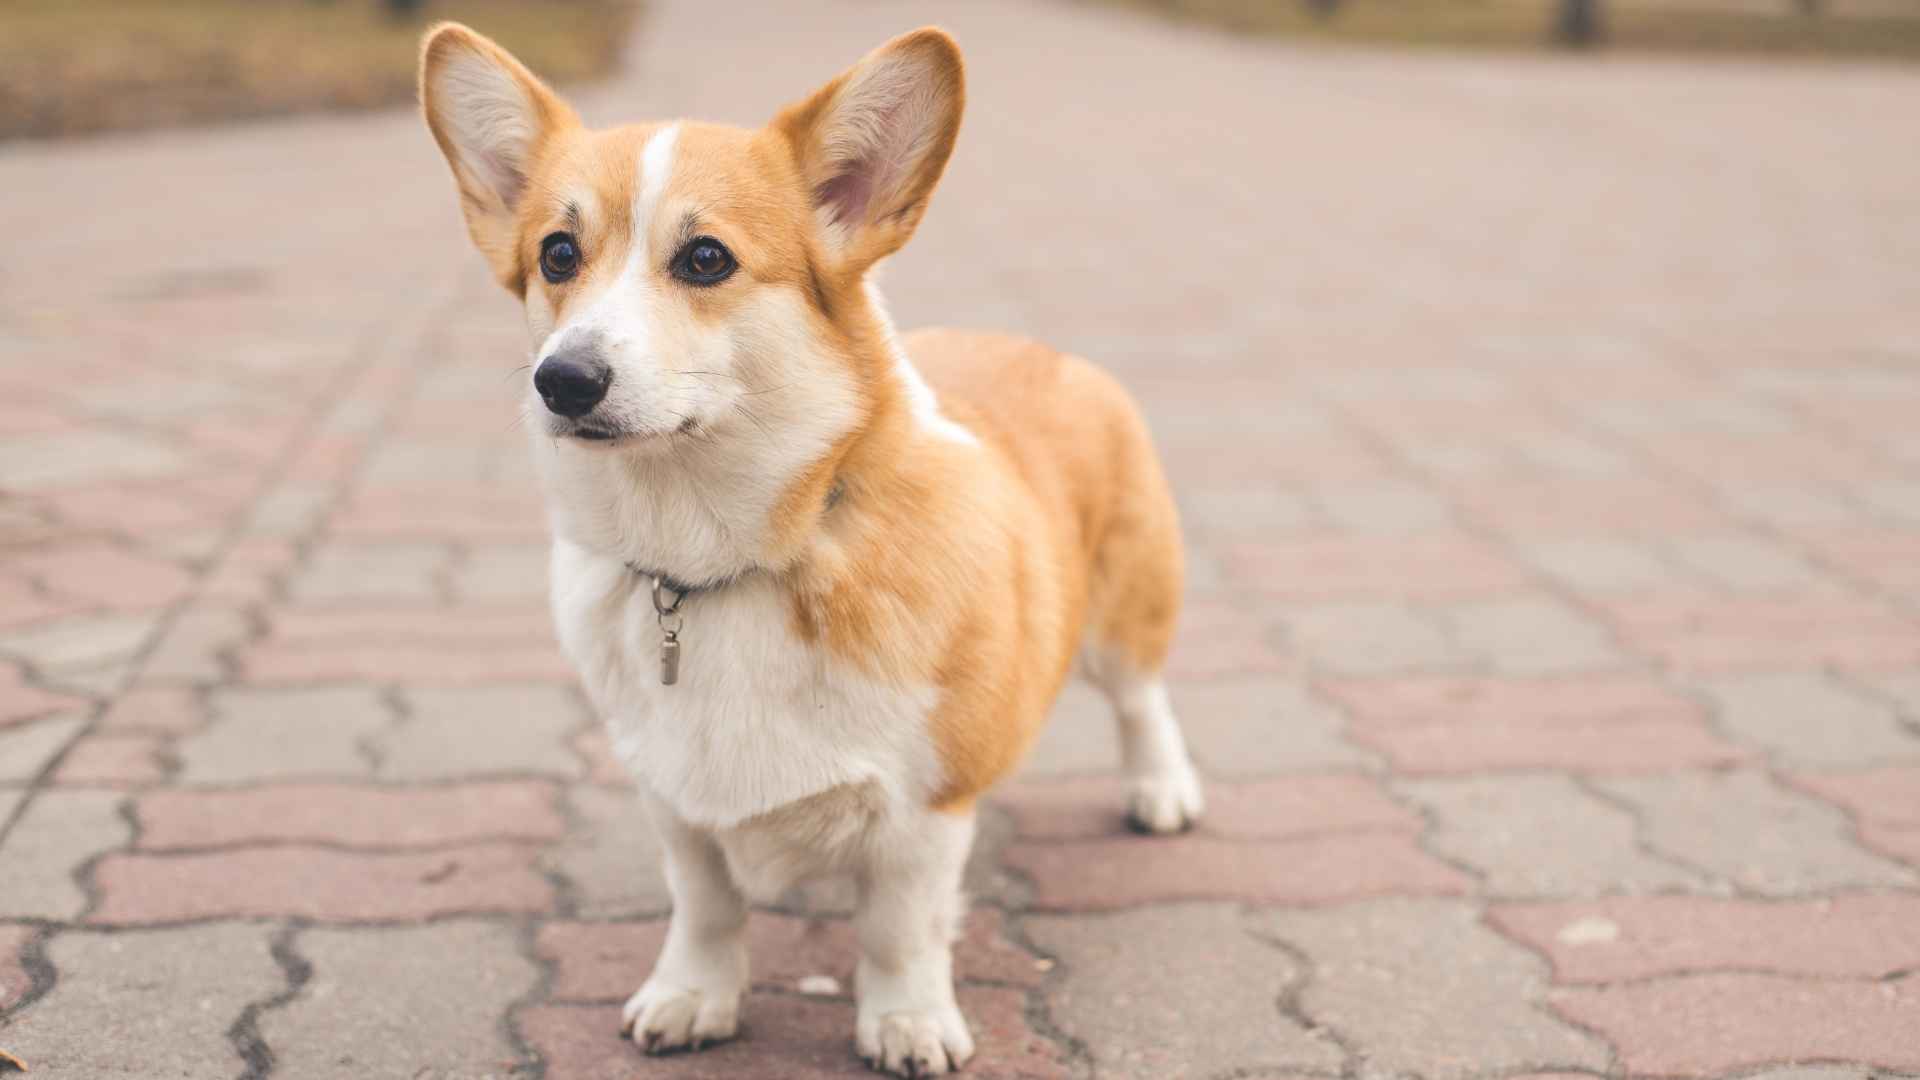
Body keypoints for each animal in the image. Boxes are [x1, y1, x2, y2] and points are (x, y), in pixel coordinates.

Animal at [420, 21, 1198, 1068]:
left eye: (706, 259)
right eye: (556, 253)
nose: (563, 380)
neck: (715, 565)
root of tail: (1040, 347)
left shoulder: (923, 808)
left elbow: (899, 928)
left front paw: (907, 1022)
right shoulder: (675, 801)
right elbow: (704, 908)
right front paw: (692, 997)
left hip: (1123, 614)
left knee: (1142, 700)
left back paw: (1162, 790)